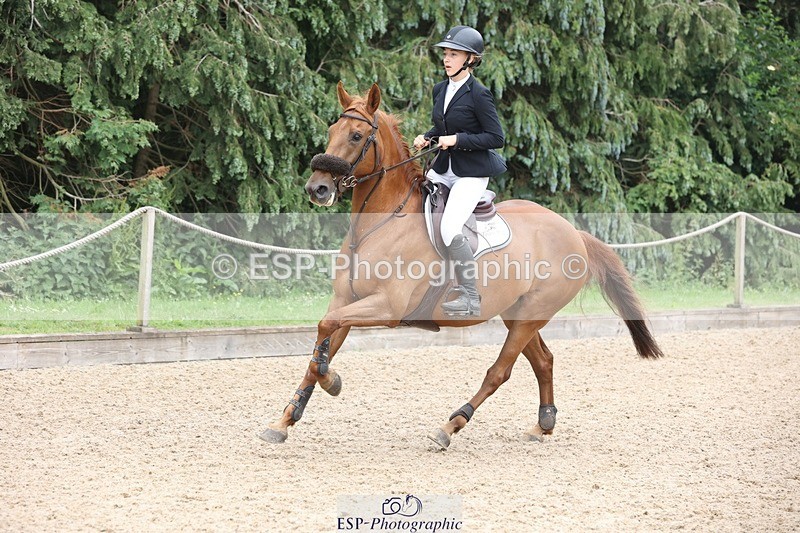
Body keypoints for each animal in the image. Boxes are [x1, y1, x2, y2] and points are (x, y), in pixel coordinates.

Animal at [259, 82, 662, 449]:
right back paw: (542, 426)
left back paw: (449, 426)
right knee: (543, 360)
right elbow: (319, 347)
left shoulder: (386, 307)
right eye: (331, 132)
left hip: (530, 315)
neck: (381, 223)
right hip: (518, 313)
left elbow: (324, 334)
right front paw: (284, 421)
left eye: (357, 136)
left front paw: (333, 382)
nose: (317, 189)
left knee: (500, 371)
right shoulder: (346, 302)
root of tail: (573, 232)